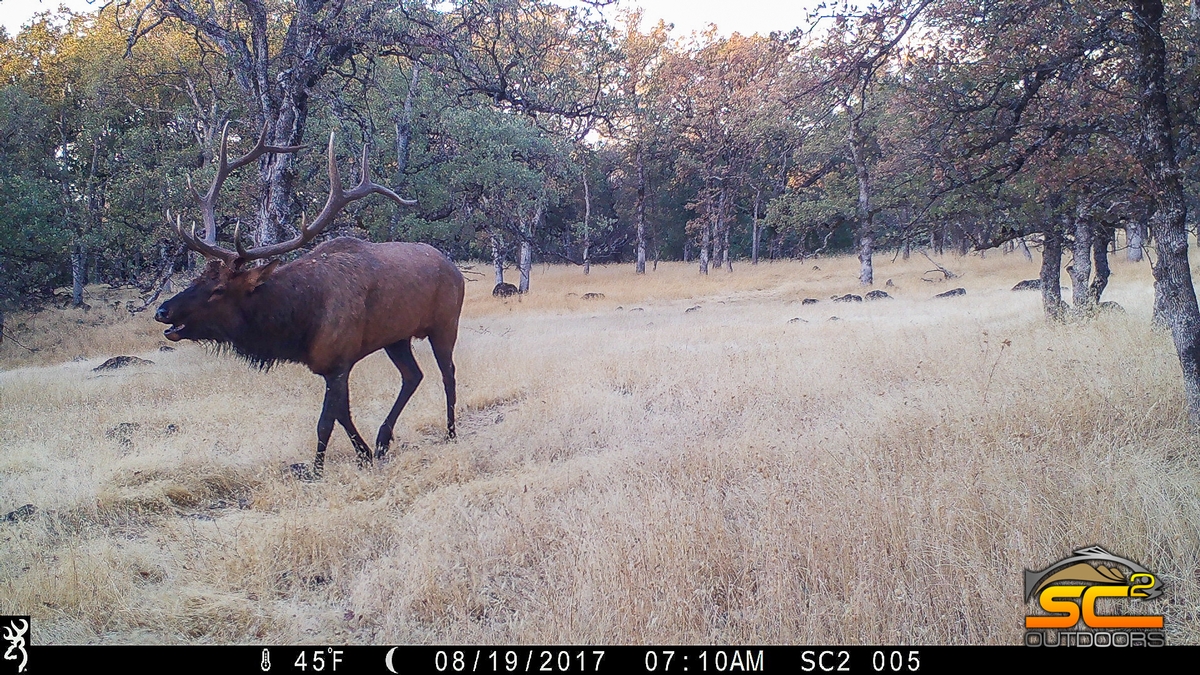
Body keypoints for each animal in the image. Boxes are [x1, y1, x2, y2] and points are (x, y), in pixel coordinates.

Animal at [154, 121, 463, 478]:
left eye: (218, 290)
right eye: (197, 279)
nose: (162, 310)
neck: (300, 322)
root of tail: (456, 270)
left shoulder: (339, 360)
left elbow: (326, 422)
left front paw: (317, 470)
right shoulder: (330, 365)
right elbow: (343, 414)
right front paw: (365, 452)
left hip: (445, 324)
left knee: (448, 374)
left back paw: (450, 432)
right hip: (396, 337)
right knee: (413, 375)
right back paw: (384, 439)